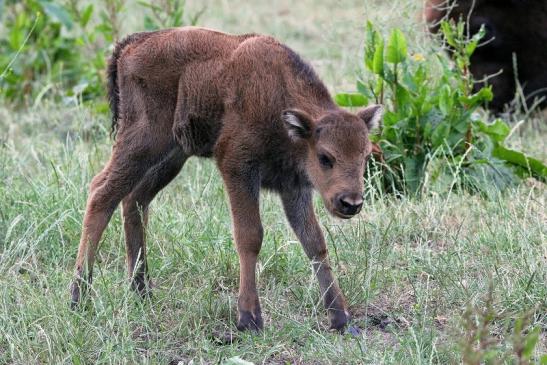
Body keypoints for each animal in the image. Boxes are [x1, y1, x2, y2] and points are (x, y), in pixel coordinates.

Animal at [70, 27, 384, 332]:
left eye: (365, 156)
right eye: (325, 157)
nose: (351, 203)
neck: (279, 100)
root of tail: (131, 44)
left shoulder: (294, 188)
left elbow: (314, 241)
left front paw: (341, 319)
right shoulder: (237, 168)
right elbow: (250, 236)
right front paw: (249, 319)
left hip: (172, 155)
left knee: (134, 200)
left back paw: (141, 291)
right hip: (144, 141)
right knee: (101, 193)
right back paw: (79, 297)